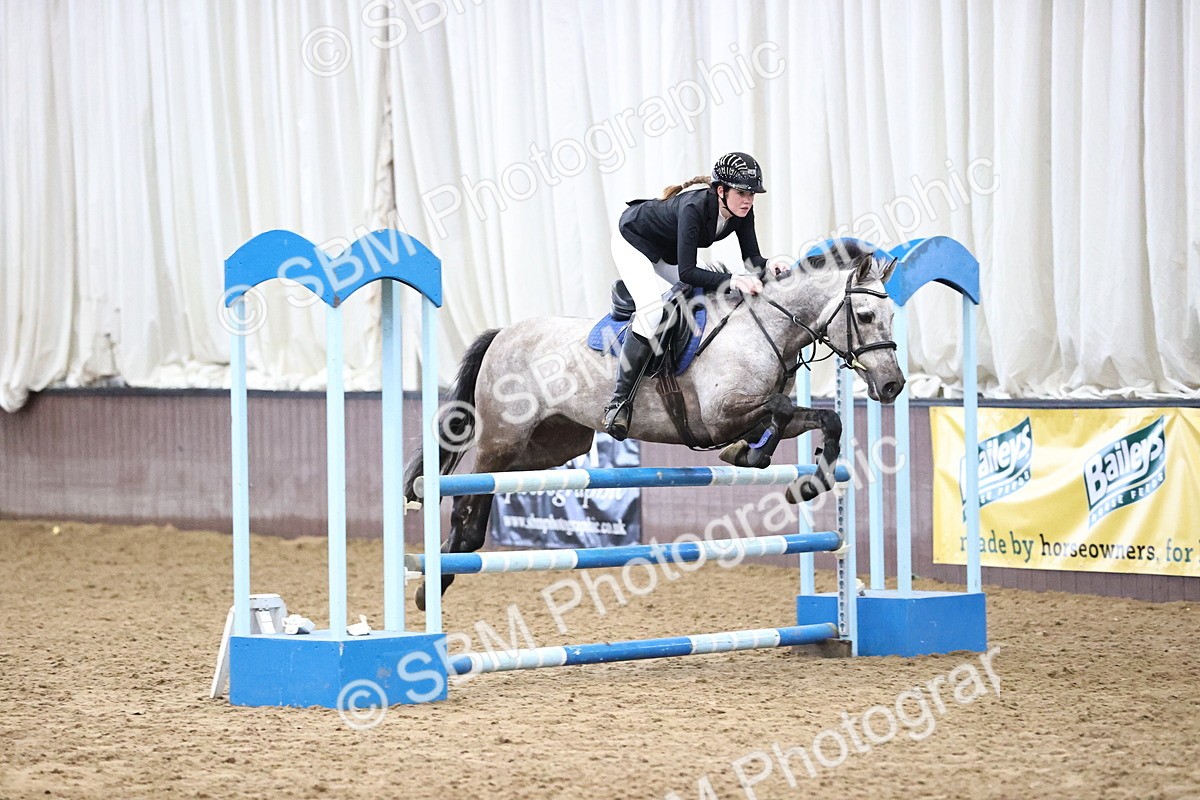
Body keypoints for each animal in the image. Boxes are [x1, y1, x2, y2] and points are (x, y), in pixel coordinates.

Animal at [404, 240, 905, 609]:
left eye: (892, 316)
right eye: (864, 317)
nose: (893, 384)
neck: (763, 328)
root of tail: (503, 333)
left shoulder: (752, 412)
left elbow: (825, 418)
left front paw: (804, 480)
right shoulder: (721, 415)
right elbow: (780, 411)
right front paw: (756, 455)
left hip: (552, 445)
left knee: (490, 488)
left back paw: (442, 572)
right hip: (503, 438)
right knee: (467, 495)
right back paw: (433, 584)